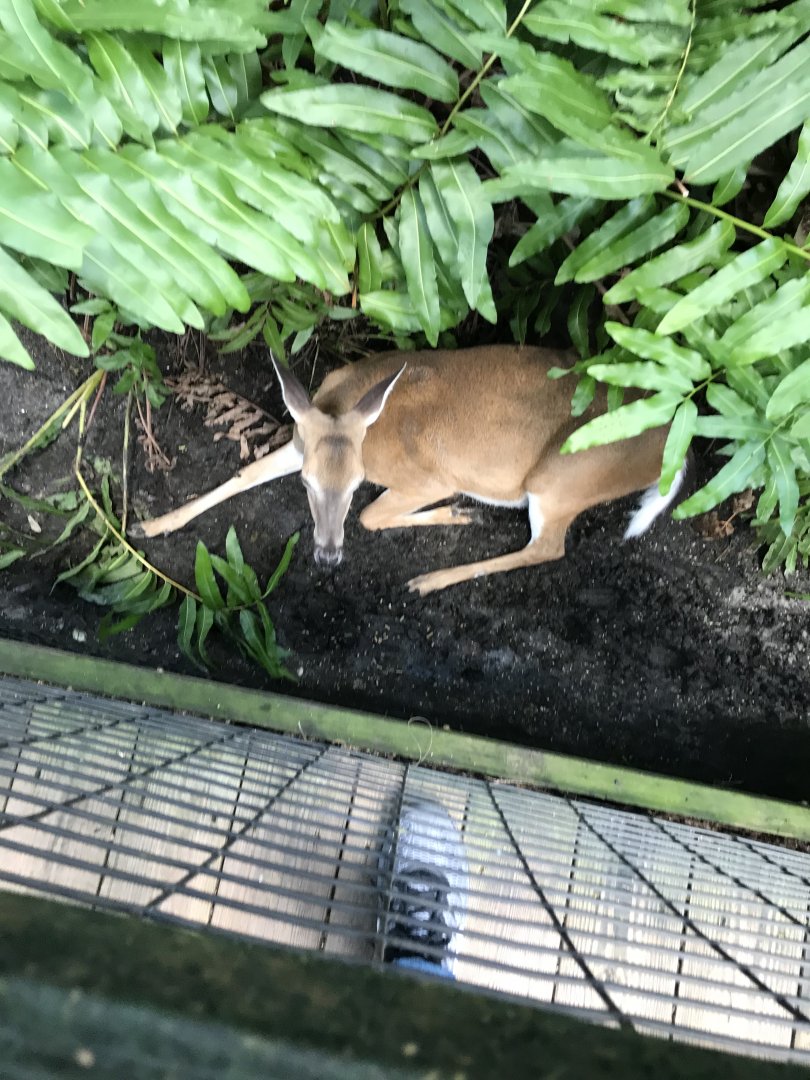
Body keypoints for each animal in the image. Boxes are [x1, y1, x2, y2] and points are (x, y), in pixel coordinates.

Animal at [131, 346, 684, 596]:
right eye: (307, 484)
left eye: (357, 482)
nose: (328, 557)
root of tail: (669, 446)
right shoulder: (302, 440)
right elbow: (244, 476)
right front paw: (150, 524)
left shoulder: (431, 476)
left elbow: (369, 516)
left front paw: (454, 512)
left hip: (559, 478)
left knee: (547, 547)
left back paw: (430, 578)